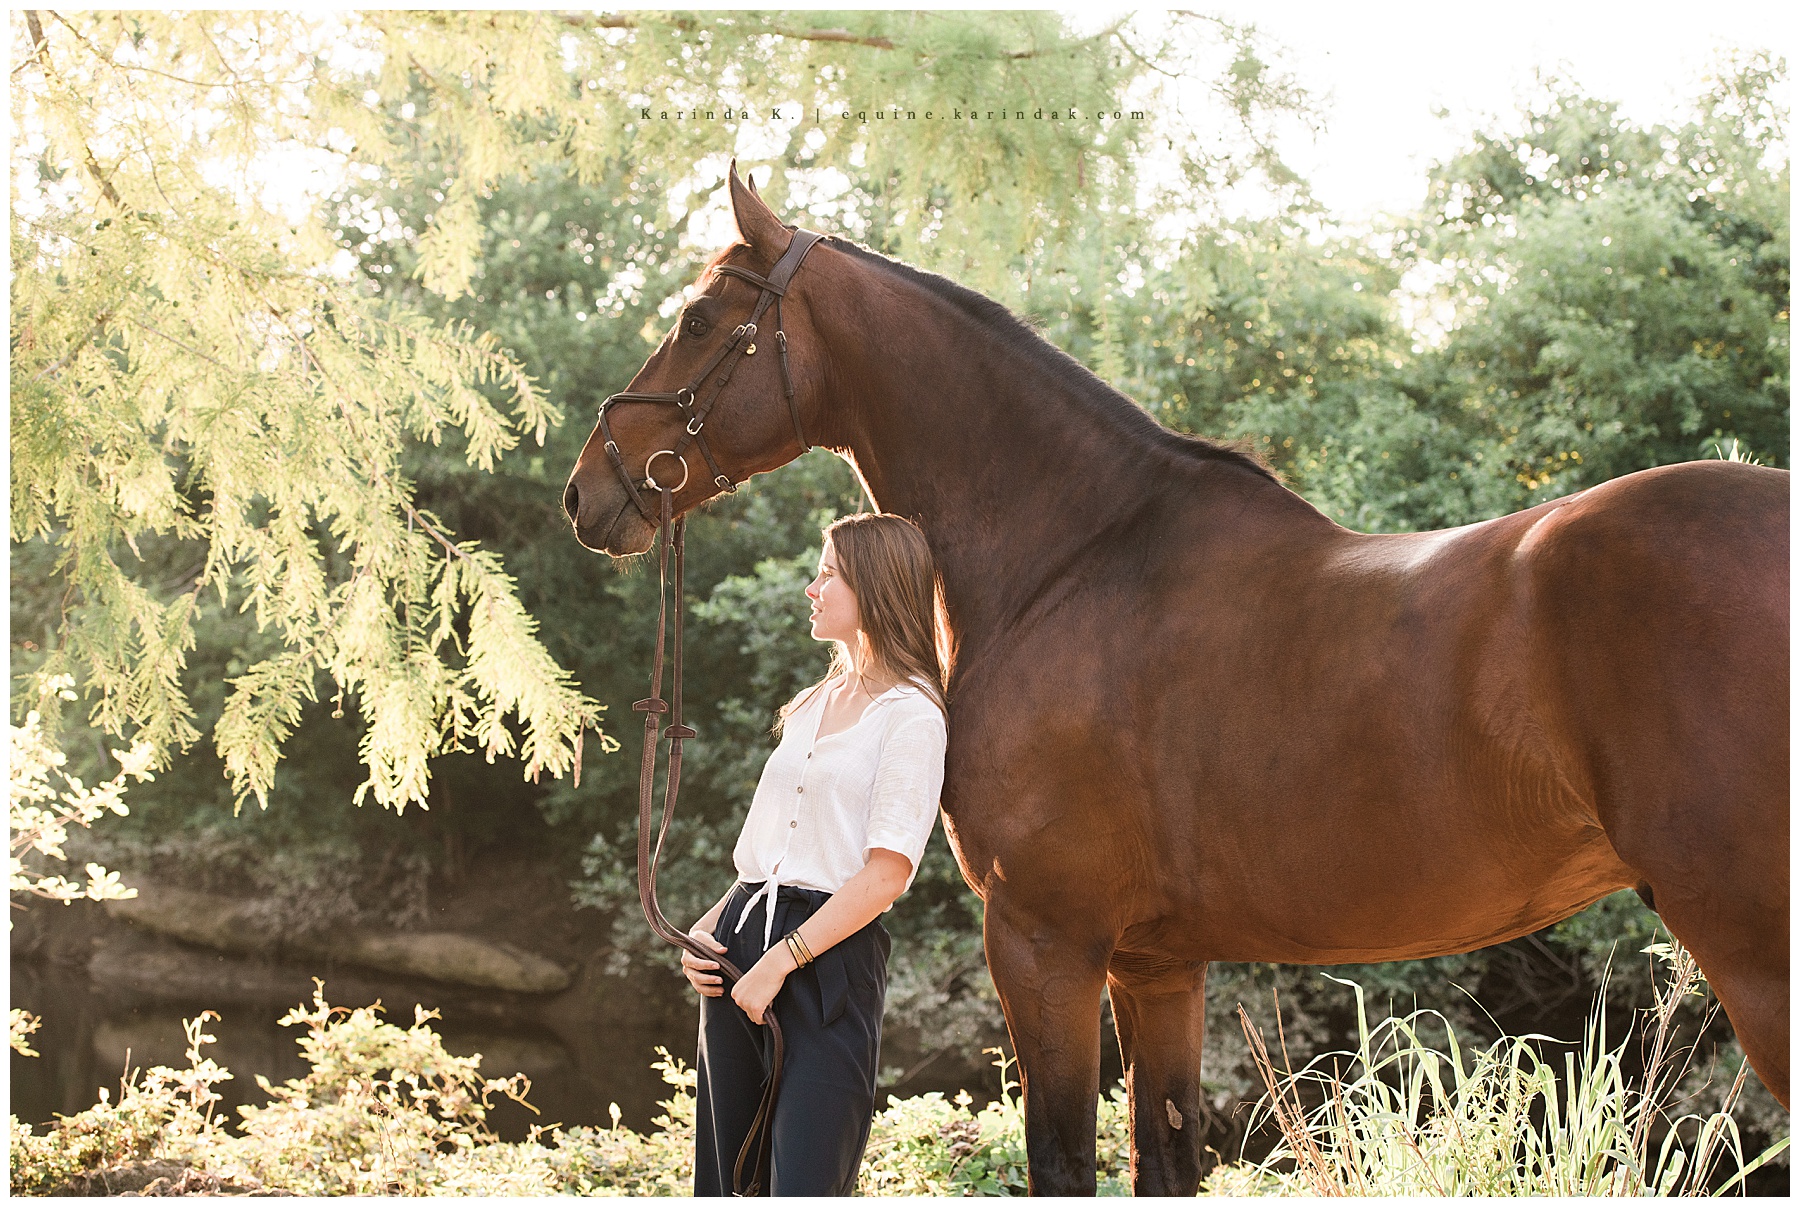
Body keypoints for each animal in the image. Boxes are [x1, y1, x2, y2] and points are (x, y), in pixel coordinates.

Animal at [563, 167, 1789, 1195]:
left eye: (696, 321)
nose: (590, 490)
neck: (1073, 555)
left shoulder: (1045, 941)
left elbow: (1063, 1160)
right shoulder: (1161, 963)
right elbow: (1167, 1156)